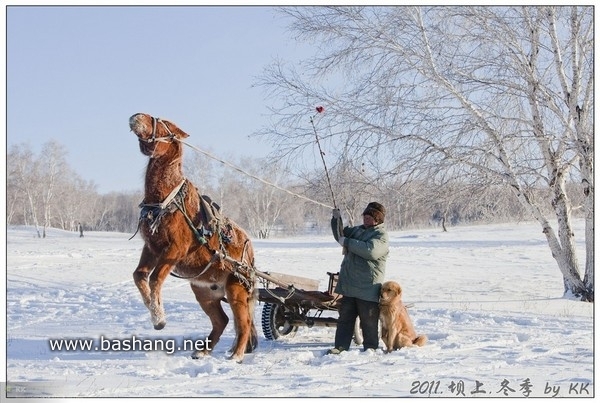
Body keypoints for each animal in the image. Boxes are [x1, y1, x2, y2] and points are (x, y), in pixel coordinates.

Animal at [129, 113, 258, 362]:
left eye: (164, 124)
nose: (137, 116)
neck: (164, 201)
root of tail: (250, 252)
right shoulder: (152, 248)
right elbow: (139, 276)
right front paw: (153, 310)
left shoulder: (175, 249)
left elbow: (155, 279)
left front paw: (159, 318)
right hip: (204, 292)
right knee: (222, 321)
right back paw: (203, 350)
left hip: (236, 289)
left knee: (243, 322)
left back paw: (237, 355)